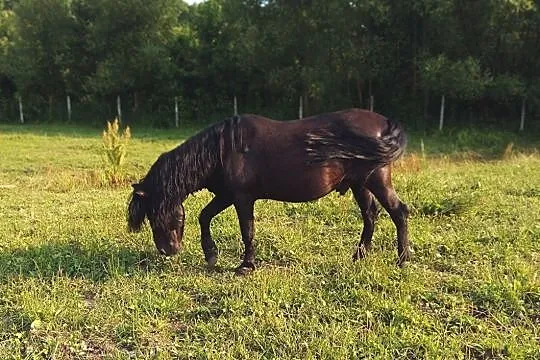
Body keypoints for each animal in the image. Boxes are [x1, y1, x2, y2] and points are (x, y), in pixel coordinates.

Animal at [129, 108, 412, 274]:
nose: (167, 251)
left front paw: (246, 265)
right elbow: (204, 216)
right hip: (359, 184)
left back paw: (402, 260)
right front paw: (211, 254)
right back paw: (359, 256)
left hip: (376, 180)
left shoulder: (242, 198)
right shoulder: (227, 195)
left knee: (398, 213)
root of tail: (385, 122)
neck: (225, 148)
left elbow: (247, 231)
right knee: (370, 215)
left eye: (154, 214)